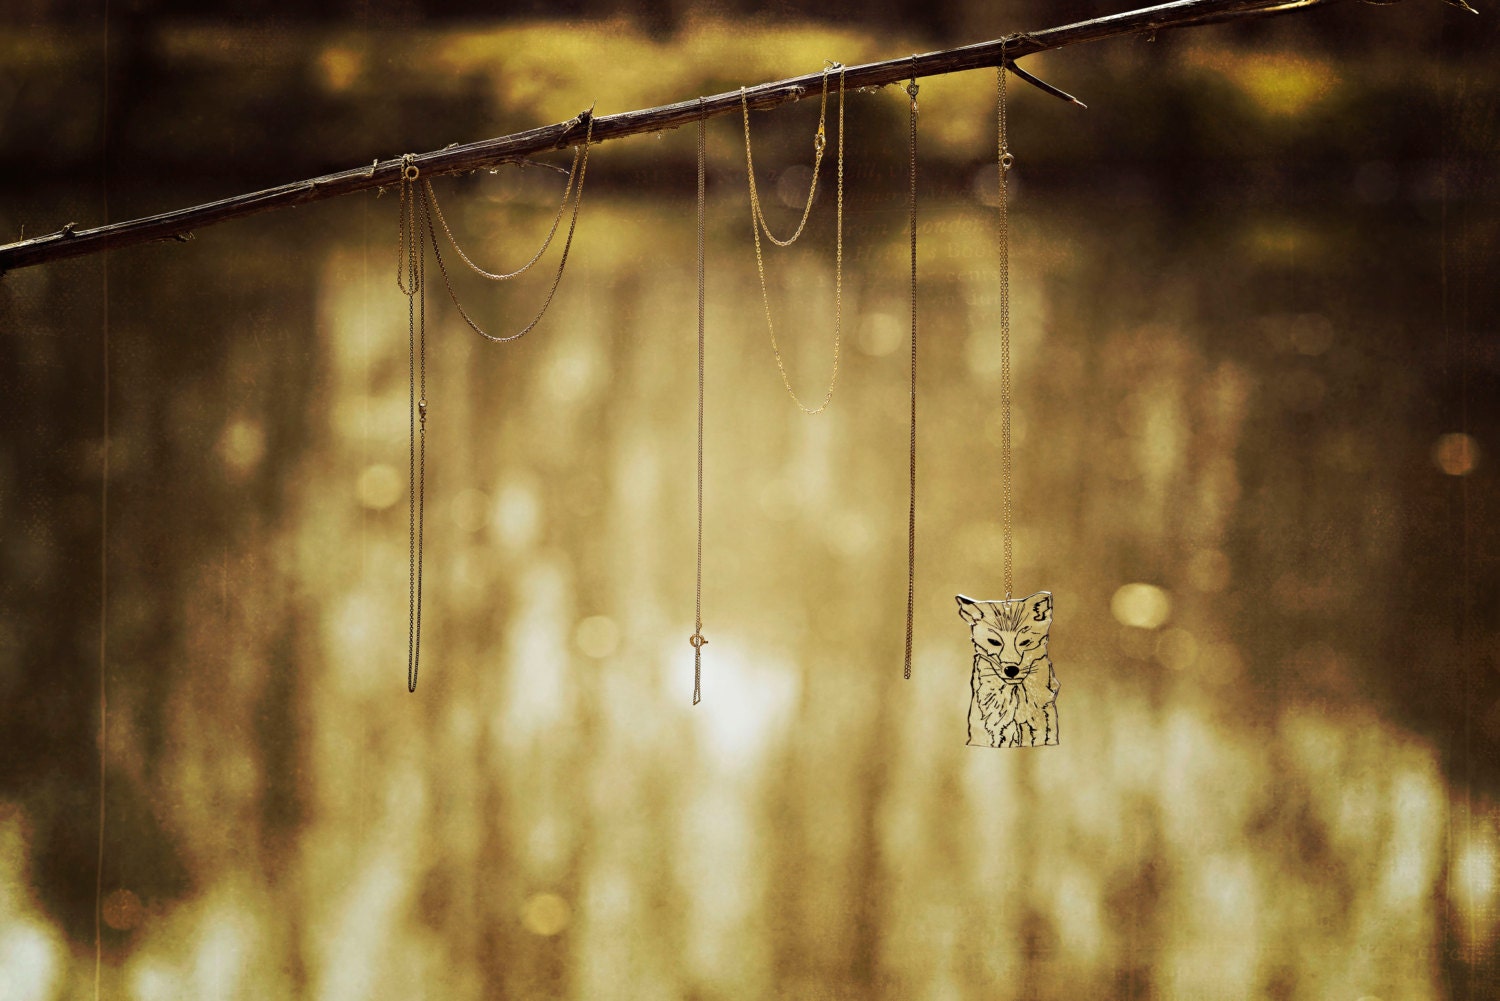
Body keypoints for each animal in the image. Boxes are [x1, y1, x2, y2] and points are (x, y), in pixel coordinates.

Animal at [956, 591, 1058, 748]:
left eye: (1025, 642)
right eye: (994, 642)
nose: (1011, 670)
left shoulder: (1039, 721)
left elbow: (1041, 738)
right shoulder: (992, 726)